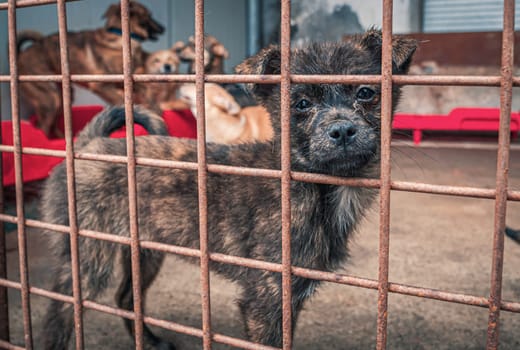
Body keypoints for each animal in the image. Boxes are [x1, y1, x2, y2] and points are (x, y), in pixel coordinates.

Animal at [17, 0, 165, 137]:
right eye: (149, 15)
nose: (163, 28)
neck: (119, 35)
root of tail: (21, 54)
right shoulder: (100, 85)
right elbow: (120, 100)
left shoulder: (129, 81)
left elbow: (147, 96)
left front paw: (156, 113)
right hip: (50, 98)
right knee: (42, 126)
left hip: (64, 97)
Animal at [38, 28, 416, 348]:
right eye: (301, 103)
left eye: (366, 93)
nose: (342, 130)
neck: (317, 190)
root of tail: (88, 143)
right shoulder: (265, 298)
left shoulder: (289, 299)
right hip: (88, 254)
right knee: (61, 309)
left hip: (144, 251)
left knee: (126, 298)